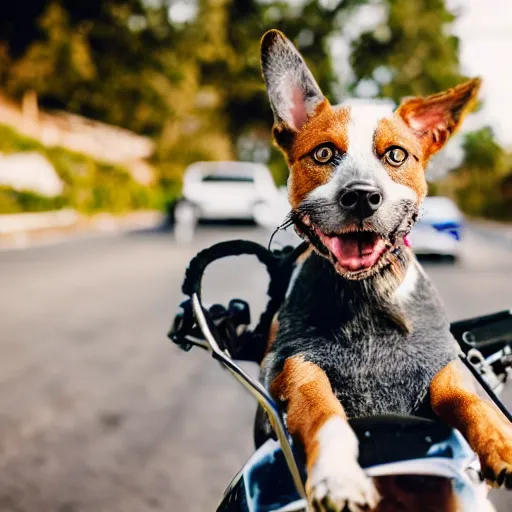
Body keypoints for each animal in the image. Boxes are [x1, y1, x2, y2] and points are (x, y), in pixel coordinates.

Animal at [256, 31, 512, 512]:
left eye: (395, 155)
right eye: (323, 153)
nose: (361, 196)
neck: (369, 295)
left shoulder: (441, 365)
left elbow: (468, 399)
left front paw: (501, 441)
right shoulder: (293, 363)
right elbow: (322, 410)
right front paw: (337, 474)